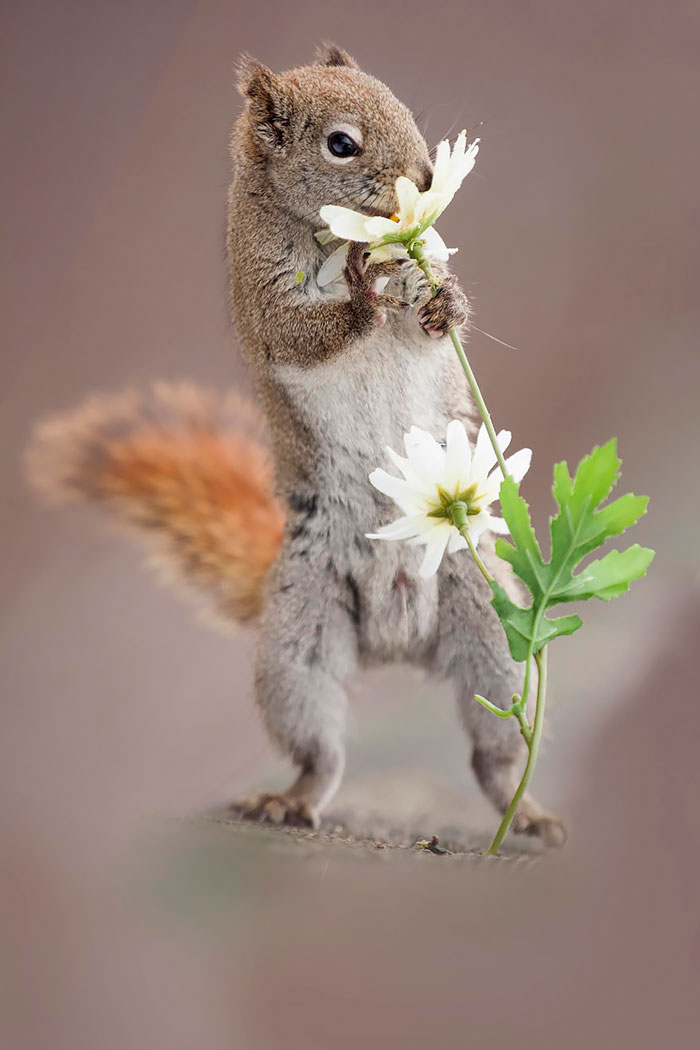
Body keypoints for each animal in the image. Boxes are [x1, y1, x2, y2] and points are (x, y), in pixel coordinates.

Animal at [27, 44, 565, 847]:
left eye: (402, 105)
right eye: (341, 144)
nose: (425, 181)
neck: (335, 235)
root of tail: (393, 641)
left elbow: (427, 320)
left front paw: (444, 300)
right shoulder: (265, 296)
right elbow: (303, 332)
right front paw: (361, 295)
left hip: (496, 627)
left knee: (497, 748)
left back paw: (522, 810)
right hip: (297, 647)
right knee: (321, 751)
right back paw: (292, 799)